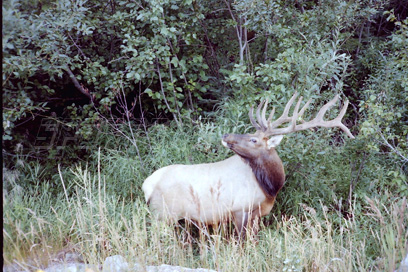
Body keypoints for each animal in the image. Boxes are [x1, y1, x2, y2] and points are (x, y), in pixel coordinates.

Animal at [143, 92, 354, 237]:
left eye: (254, 139)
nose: (226, 135)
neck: (269, 187)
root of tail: (147, 185)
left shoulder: (256, 215)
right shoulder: (240, 209)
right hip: (163, 214)